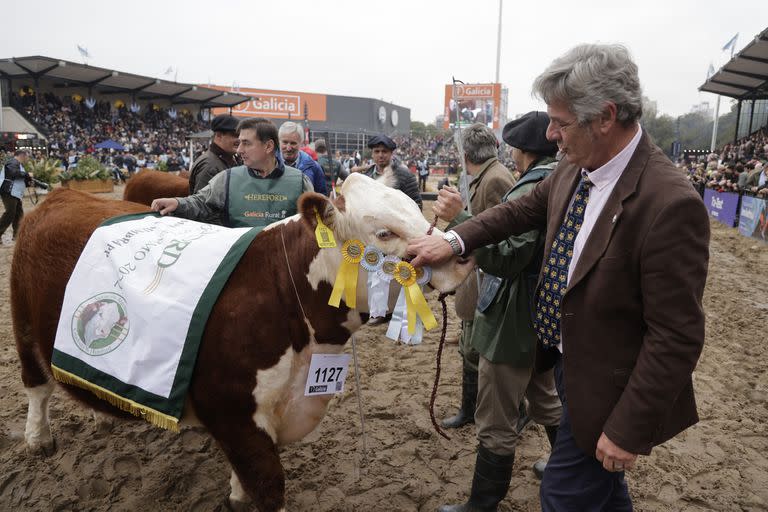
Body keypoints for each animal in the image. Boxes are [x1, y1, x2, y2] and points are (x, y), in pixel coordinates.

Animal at [10, 173, 474, 512]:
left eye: (414, 207)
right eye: (384, 232)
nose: (460, 255)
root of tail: (63, 194)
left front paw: (235, 493)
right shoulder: (231, 410)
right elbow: (267, 481)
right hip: (24, 323)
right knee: (37, 385)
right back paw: (38, 438)